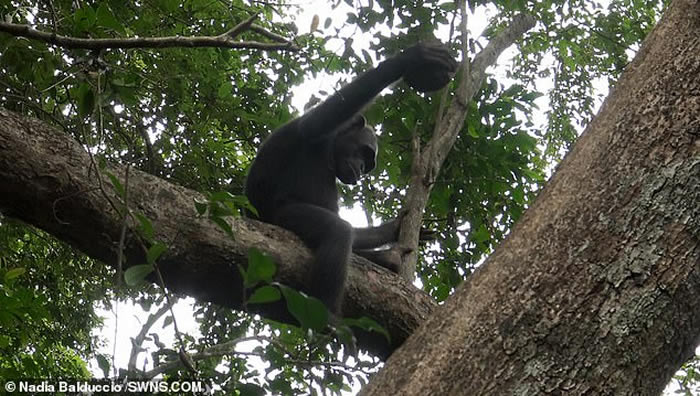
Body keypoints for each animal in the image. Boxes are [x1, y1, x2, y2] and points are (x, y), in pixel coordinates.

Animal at [246, 41, 460, 314]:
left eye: (368, 164)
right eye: (365, 153)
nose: (360, 168)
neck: (329, 150)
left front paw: (392, 229)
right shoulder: (313, 132)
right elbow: (318, 121)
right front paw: (410, 59)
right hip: (280, 218)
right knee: (338, 231)